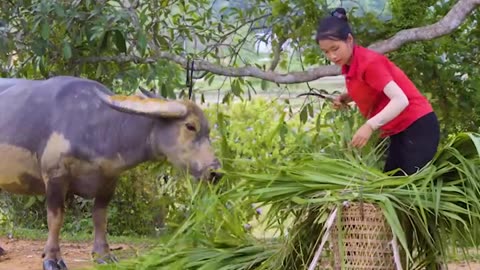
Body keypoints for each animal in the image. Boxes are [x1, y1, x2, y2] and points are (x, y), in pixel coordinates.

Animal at [0, 75, 223, 268]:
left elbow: (100, 217)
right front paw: (52, 258)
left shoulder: (108, 180)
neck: (97, 126)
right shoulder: (55, 176)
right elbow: (55, 218)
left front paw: (104, 255)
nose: (216, 172)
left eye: (208, 130)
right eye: (190, 126)